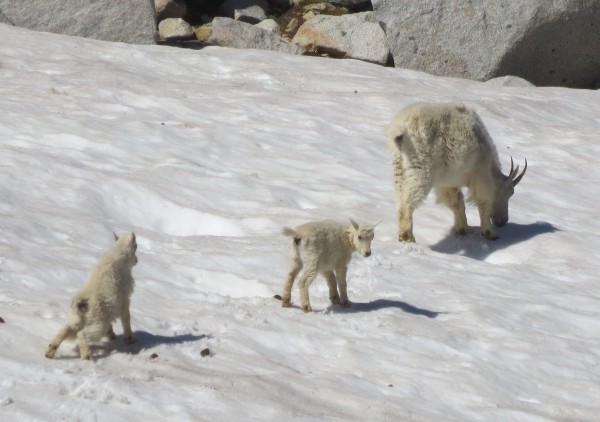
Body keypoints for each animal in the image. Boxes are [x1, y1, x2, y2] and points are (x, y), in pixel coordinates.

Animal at [386, 101, 528, 242]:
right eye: (511, 192)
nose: (503, 221)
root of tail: (400, 129)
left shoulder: (448, 182)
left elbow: (457, 202)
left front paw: (463, 229)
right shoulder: (480, 175)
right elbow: (482, 201)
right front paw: (490, 233)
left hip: (399, 167)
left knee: (400, 197)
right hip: (420, 167)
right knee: (408, 201)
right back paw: (407, 236)